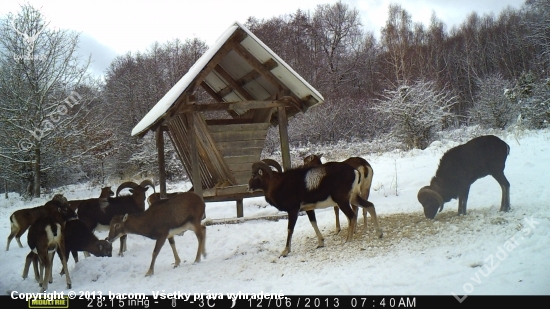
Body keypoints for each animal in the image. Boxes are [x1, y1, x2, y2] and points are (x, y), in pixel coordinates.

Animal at [248, 159, 378, 255]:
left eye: (254, 175)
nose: (249, 188)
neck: (278, 184)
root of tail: (355, 171)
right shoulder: (309, 209)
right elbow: (313, 223)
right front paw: (320, 244)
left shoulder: (293, 211)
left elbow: (290, 229)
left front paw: (285, 252)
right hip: (353, 198)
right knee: (370, 206)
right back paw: (379, 233)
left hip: (343, 202)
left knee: (352, 216)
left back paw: (348, 241)